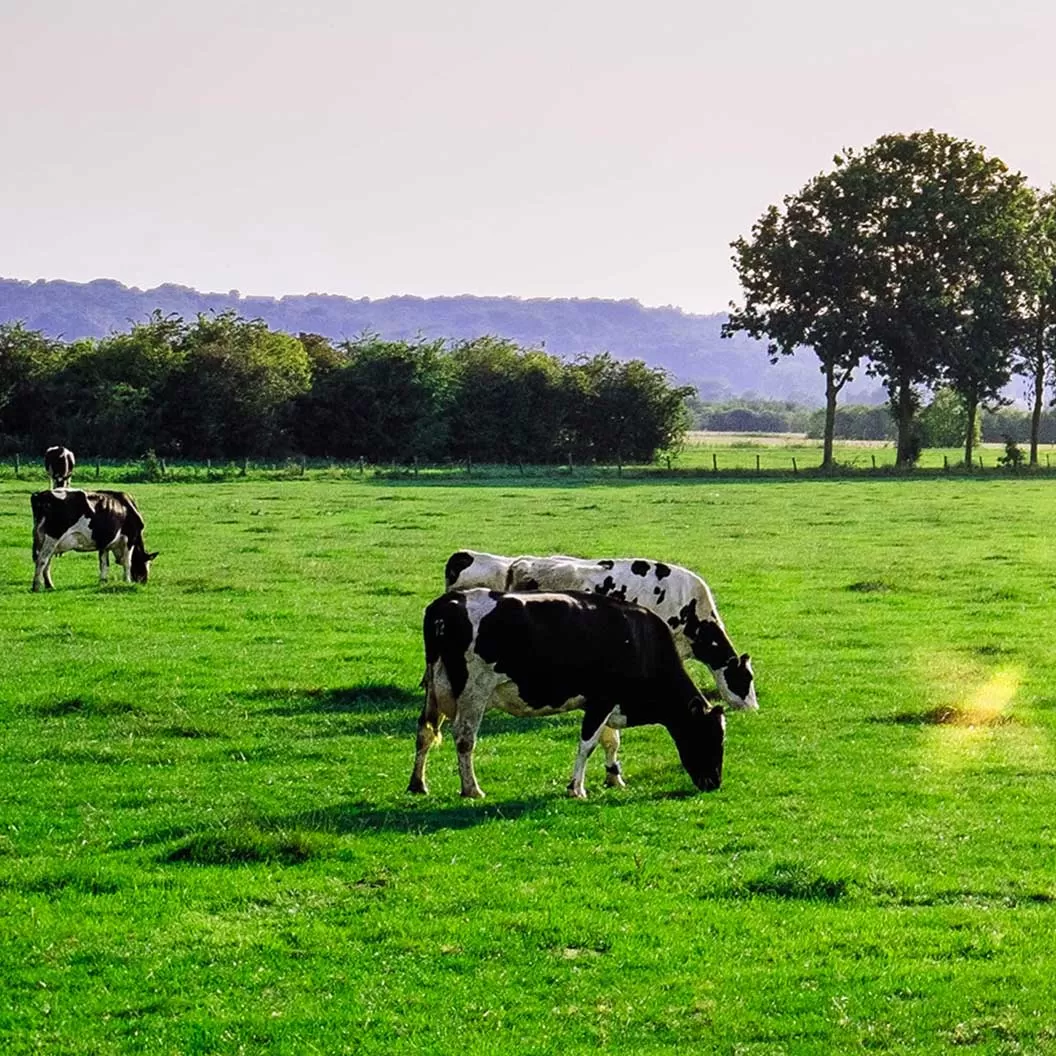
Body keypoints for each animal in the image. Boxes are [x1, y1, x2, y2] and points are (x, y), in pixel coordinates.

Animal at [405, 587, 726, 798]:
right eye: (710, 736)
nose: (715, 782)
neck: (639, 641)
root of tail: (447, 603)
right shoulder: (602, 699)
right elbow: (588, 744)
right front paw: (577, 788)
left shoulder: (604, 703)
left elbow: (610, 741)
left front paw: (614, 778)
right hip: (474, 691)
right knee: (464, 738)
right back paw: (471, 788)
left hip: (434, 688)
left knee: (425, 731)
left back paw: (418, 784)